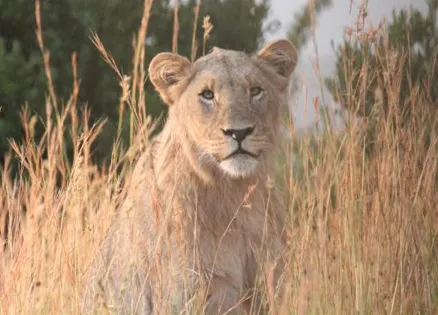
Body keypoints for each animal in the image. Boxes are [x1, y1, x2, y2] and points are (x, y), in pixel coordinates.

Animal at [83, 39, 298, 315]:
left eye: (255, 91)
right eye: (207, 95)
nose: (239, 132)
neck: (232, 194)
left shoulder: (271, 279)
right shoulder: (188, 293)